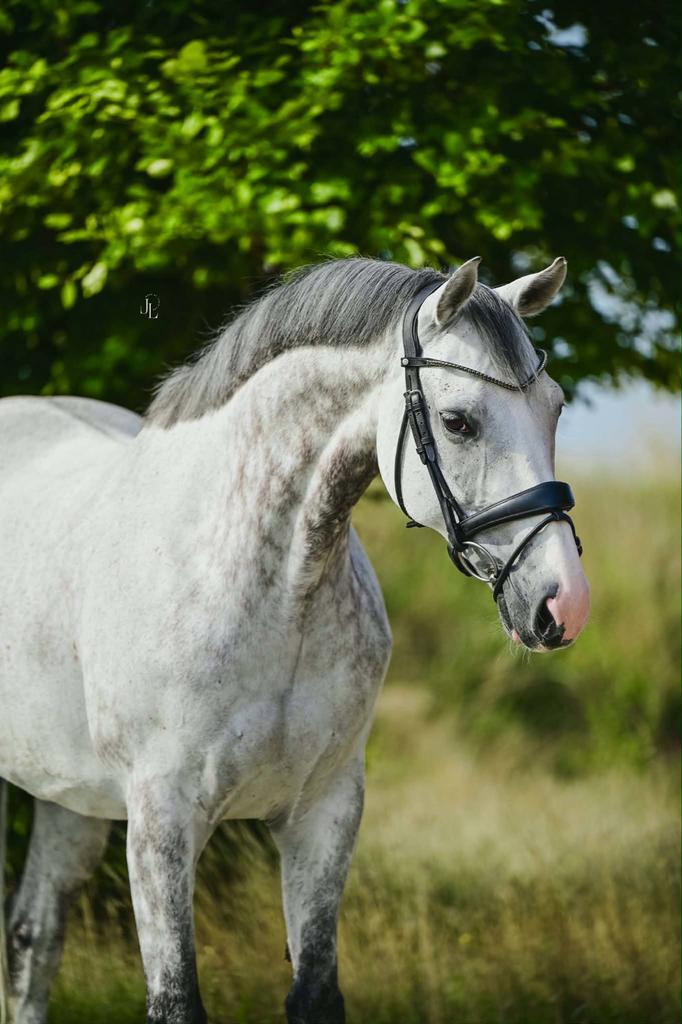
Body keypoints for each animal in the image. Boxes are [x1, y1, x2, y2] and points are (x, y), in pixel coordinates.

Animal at [0, 255, 589, 1024]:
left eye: (554, 407)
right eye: (458, 421)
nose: (563, 603)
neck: (269, 586)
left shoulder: (324, 810)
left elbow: (315, 991)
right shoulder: (161, 822)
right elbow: (177, 999)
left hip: (69, 798)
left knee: (34, 938)